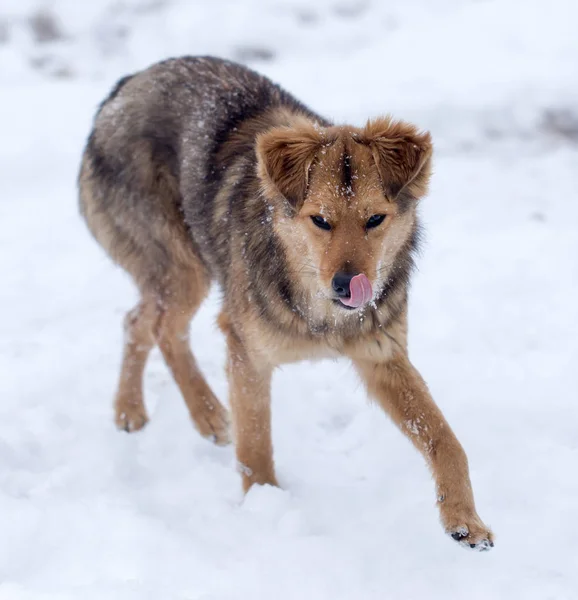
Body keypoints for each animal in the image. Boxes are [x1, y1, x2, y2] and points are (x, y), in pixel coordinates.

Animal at [77, 55, 490, 548]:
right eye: (320, 221)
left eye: (375, 219)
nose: (347, 284)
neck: (320, 311)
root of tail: (124, 86)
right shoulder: (246, 351)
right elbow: (256, 444)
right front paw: (263, 508)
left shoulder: (382, 356)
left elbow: (445, 439)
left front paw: (464, 518)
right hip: (184, 269)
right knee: (156, 323)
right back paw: (186, 413)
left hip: (179, 274)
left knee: (140, 319)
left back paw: (153, 412)